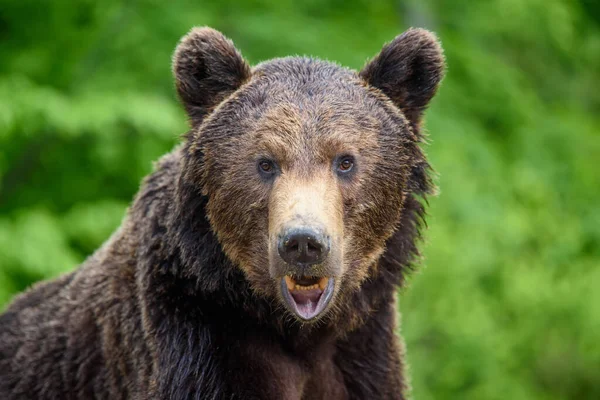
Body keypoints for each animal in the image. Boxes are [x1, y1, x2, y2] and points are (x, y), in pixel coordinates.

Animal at [1, 26, 446, 398]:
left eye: (345, 161)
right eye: (265, 163)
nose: (303, 243)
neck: (297, 330)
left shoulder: (362, 352)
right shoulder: (198, 339)